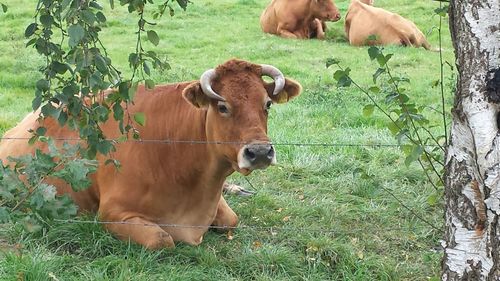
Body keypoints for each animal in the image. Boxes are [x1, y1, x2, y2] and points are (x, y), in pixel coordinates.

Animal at [0, 58, 300, 247]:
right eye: (222, 106)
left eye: (268, 104)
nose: (259, 152)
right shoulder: (111, 213)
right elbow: (162, 239)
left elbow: (231, 220)